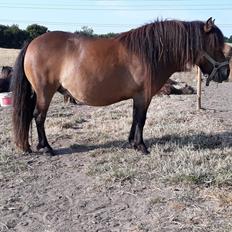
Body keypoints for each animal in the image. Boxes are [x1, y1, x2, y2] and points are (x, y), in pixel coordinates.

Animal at [11, 18, 230, 155]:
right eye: (215, 45)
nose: (226, 73)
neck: (150, 53)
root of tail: (33, 42)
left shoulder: (137, 96)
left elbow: (135, 118)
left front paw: (132, 142)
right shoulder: (144, 96)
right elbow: (141, 119)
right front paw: (141, 146)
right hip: (44, 92)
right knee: (39, 117)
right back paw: (46, 148)